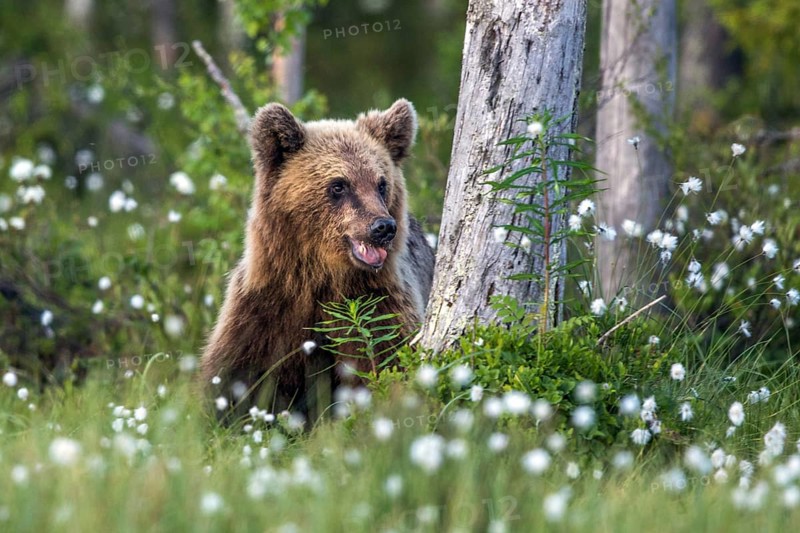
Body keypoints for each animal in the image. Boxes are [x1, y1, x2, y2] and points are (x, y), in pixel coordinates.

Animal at [200, 99, 435, 423]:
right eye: (339, 185)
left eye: (381, 184)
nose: (383, 227)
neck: (321, 277)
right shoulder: (264, 307)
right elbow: (232, 374)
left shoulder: (378, 304)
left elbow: (385, 362)